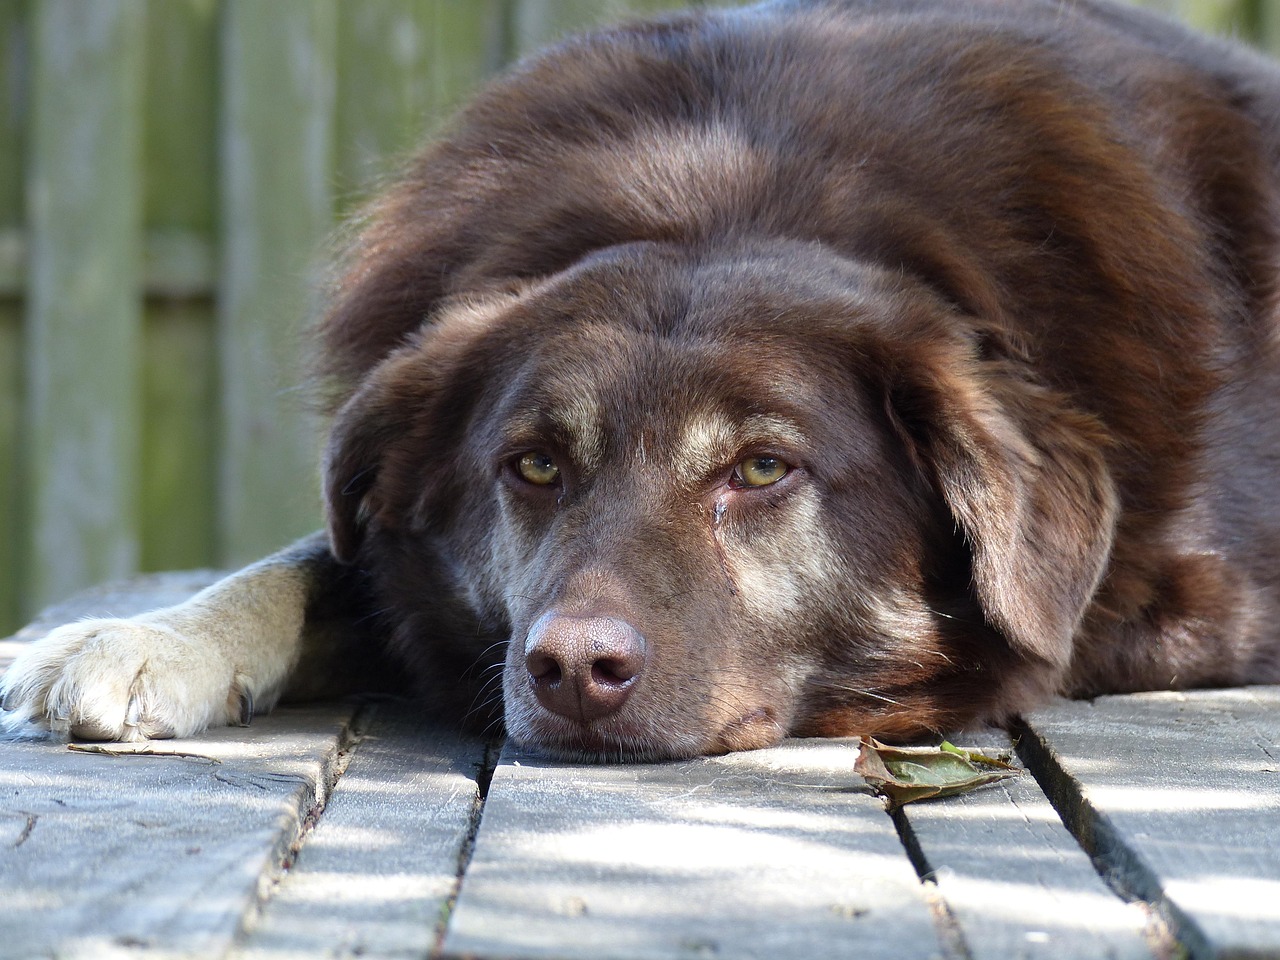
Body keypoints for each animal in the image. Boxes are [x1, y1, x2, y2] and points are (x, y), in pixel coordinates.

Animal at [2, 1, 1280, 768]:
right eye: (532, 466)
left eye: (761, 469)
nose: (572, 669)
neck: (731, 186)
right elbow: (312, 566)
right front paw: (139, 640)